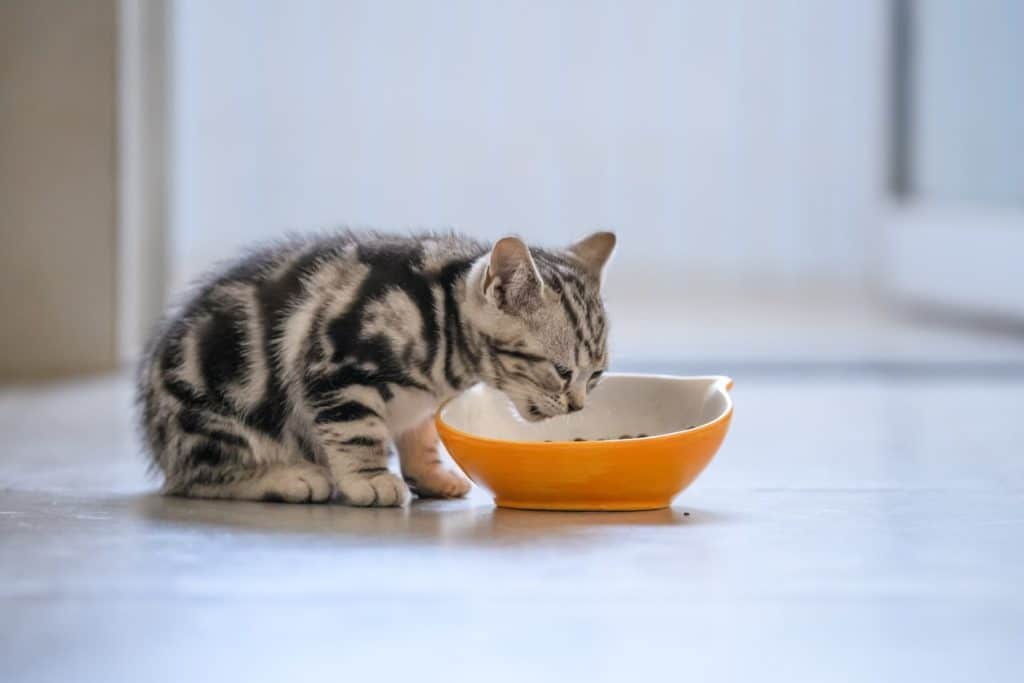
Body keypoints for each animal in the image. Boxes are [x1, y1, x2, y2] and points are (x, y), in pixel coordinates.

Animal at [139, 232, 610, 505]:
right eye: (562, 370)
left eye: (596, 375)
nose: (577, 405)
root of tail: (158, 439)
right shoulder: (339, 369)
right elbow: (356, 431)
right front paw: (371, 478)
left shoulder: (418, 405)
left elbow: (420, 437)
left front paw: (430, 475)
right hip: (213, 416)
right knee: (196, 478)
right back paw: (290, 477)